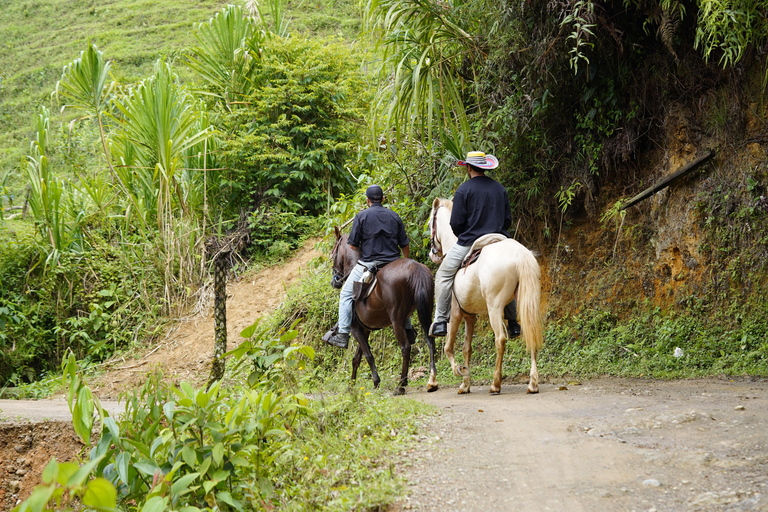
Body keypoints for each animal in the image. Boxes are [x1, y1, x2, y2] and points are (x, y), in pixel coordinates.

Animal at [330, 226, 439, 395]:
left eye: (333, 253)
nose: (335, 281)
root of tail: (415, 267)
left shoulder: (355, 329)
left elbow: (368, 355)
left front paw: (375, 382)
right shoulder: (365, 329)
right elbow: (357, 358)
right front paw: (351, 386)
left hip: (396, 320)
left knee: (405, 347)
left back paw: (400, 386)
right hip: (425, 309)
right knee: (430, 340)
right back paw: (432, 381)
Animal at [428, 198, 544, 394]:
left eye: (430, 224)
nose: (431, 254)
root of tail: (520, 253)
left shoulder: (455, 315)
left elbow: (448, 347)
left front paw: (459, 370)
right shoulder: (470, 316)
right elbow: (467, 348)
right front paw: (465, 384)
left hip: (494, 308)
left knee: (500, 339)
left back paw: (495, 384)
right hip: (528, 302)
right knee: (531, 332)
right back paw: (532, 383)